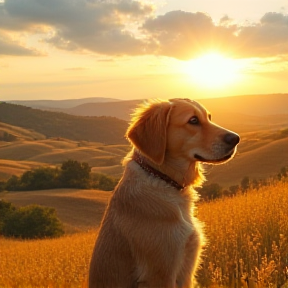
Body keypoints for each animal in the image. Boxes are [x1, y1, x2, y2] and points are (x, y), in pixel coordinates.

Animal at [89, 98, 240, 286]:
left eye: (209, 117)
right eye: (193, 120)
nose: (236, 138)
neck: (163, 179)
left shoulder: (187, 271)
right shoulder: (160, 274)